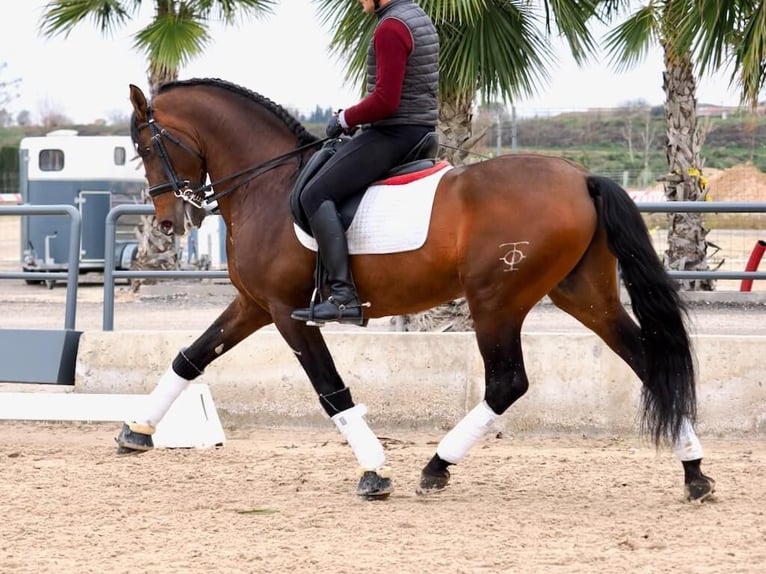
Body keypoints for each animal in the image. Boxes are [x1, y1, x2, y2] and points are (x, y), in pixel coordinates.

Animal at [117, 77, 716, 504]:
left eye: (144, 144)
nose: (170, 222)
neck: (266, 183)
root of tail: (582, 178)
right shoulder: (254, 305)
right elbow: (191, 357)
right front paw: (137, 430)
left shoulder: (289, 313)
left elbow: (331, 390)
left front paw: (374, 471)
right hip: (584, 297)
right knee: (647, 361)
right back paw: (694, 473)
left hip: (496, 301)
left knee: (507, 384)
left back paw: (436, 467)